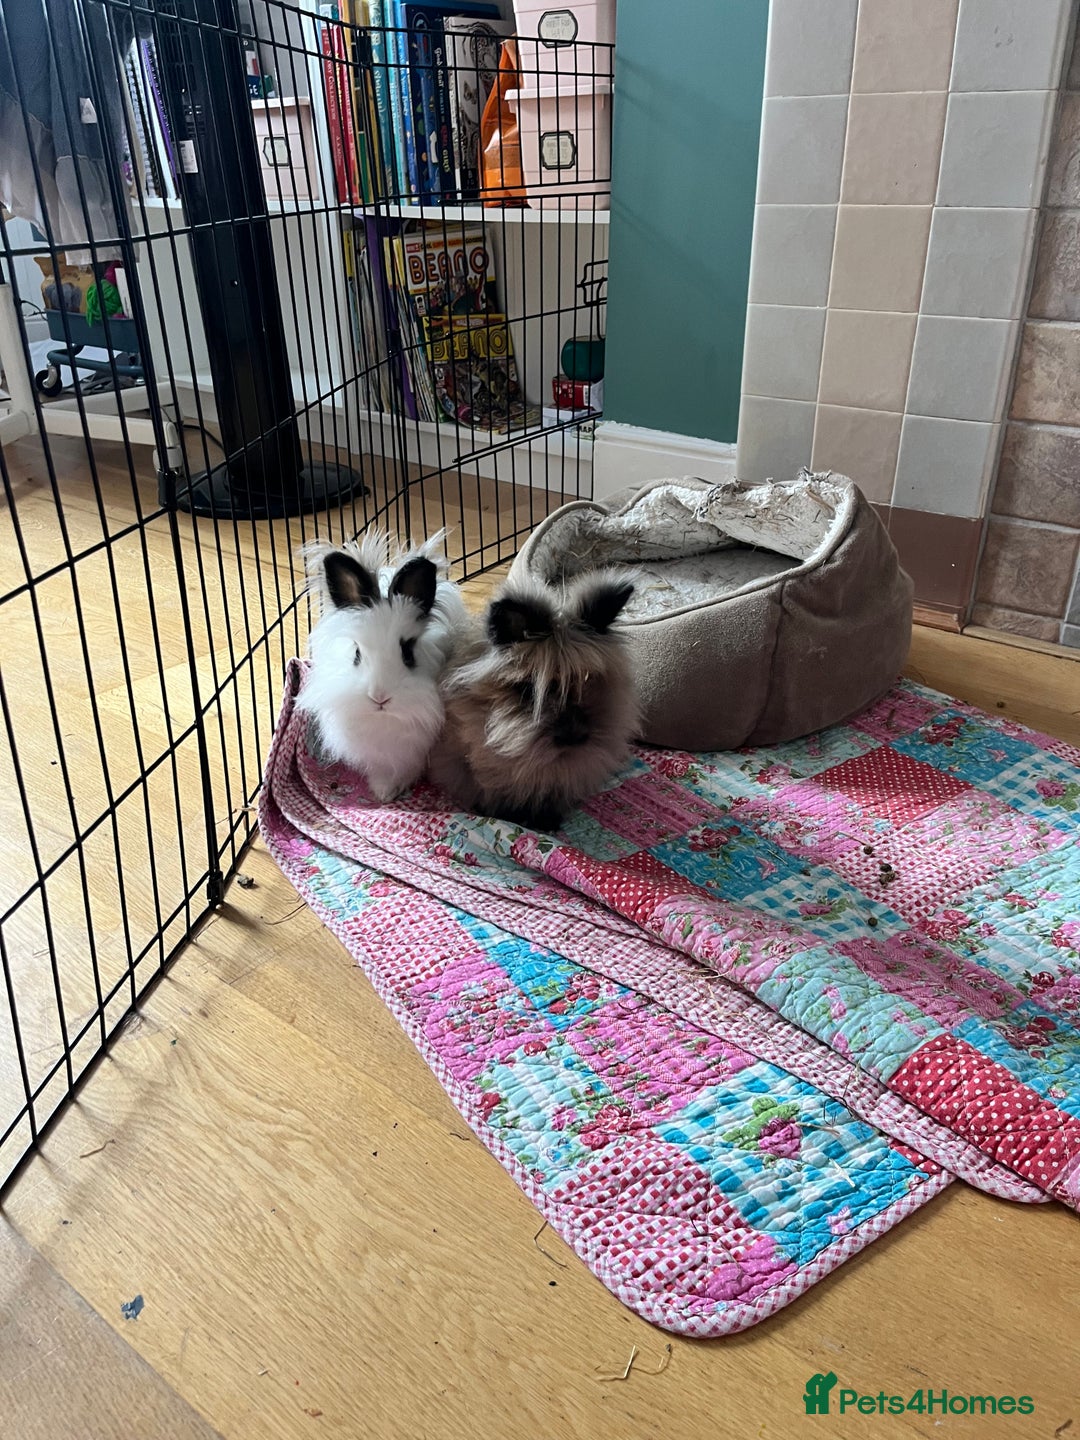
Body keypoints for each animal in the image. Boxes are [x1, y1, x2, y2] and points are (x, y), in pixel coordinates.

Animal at [298, 528, 469, 802]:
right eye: (356, 653)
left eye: (408, 653)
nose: (380, 698)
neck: (384, 720)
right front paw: (382, 792)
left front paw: (390, 793)